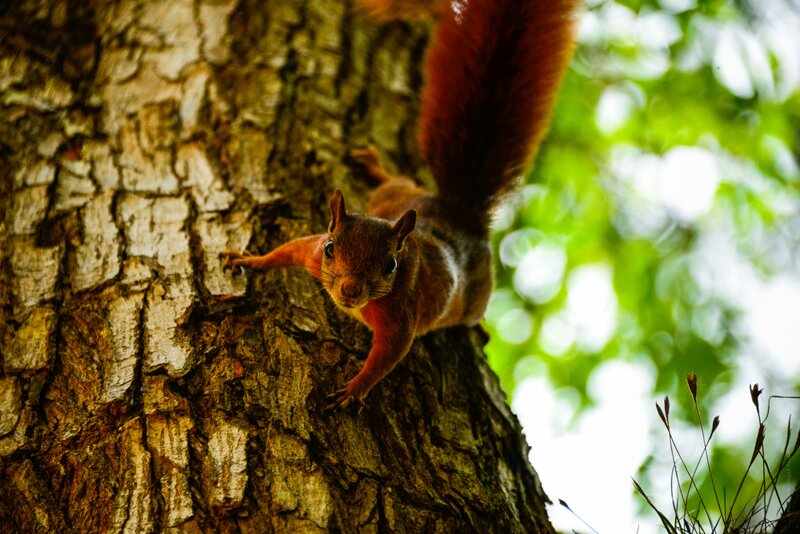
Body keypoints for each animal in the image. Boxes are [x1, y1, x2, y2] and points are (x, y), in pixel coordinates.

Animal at [223, 0, 581, 412]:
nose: (349, 291)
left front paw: (353, 389)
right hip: (394, 196)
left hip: (477, 293)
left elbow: (388, 355)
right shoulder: (311, 252)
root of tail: (458, 211)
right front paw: (250, 260)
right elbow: (287, 250)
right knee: (396, 181)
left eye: (390, 265)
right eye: (330, 249)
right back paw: (372, 165)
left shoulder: (401, 314)